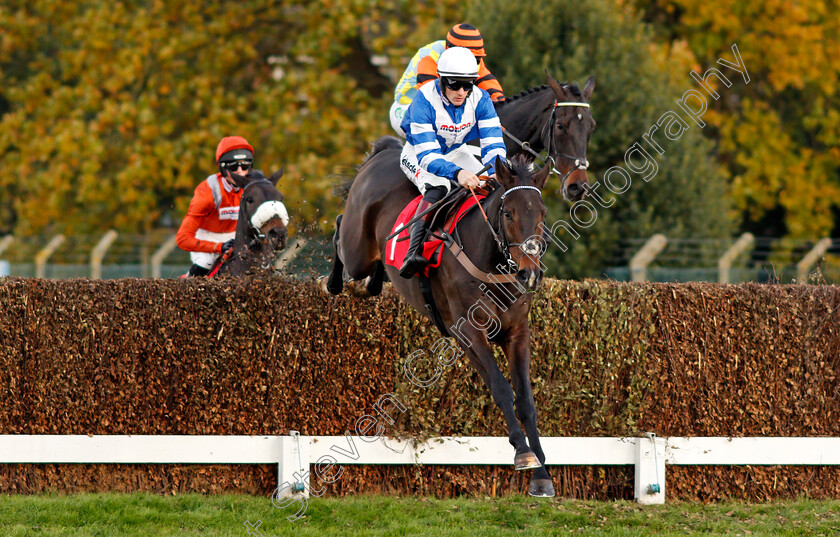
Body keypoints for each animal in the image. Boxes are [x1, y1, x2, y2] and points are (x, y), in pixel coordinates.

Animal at [328, 140, 556, 496]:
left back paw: (373, 282)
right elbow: (501, 388)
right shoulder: (469, 332)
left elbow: (526, 400)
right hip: (357, 249)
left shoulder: (517, 332)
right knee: (341, 230)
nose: (529, 274)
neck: (490, 262)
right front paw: (523, 453)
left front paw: (542, 474)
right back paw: (334, 282)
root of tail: (384, 152)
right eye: (508, 213)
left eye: (542, 214)